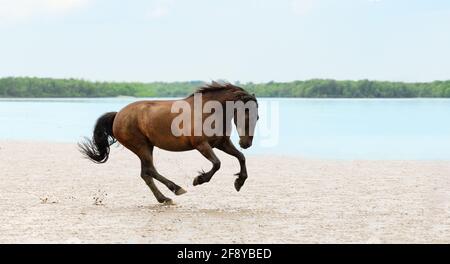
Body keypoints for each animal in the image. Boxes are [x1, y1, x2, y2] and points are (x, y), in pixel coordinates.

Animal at [79, 82, 258, 204]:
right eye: (246, 114)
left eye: (257, 117)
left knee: (146, 174)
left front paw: (239, 182)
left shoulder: (221, 143)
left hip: (147, 146)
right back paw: (176, 189)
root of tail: (117, 115)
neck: (208, 112)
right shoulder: (201, 145)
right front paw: (199, 180)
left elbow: (241, 157)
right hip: (141, 146)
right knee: (150, 170)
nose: (246, 143)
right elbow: (217, 164)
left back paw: (164, 198)